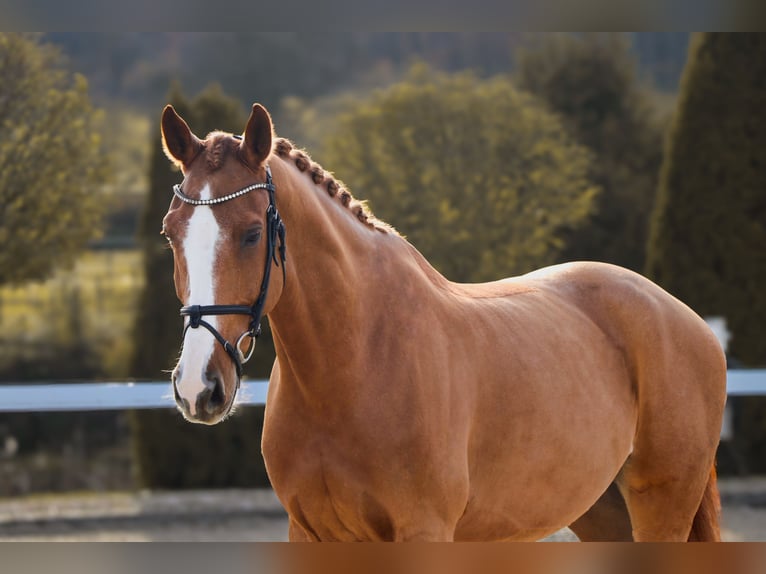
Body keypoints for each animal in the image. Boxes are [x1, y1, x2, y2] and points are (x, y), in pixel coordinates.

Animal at [160, 102, 727, 542]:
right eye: (170, 232)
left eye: (253, 233)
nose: (198, 388)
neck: (355, 361)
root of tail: (687, 321)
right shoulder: (310, 533)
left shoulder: (424, 530)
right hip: (601, 510)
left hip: (661, 506)